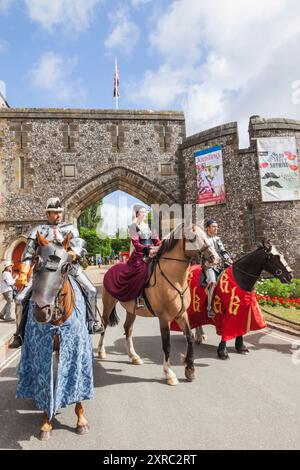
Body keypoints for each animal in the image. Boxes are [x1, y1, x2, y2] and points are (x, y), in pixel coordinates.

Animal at [16, 233, 92, 442]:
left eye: (66, 267)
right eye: (35, 261)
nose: (42, 311)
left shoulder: (76, 351)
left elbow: (77, 385)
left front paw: (81, 422)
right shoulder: (40, 351)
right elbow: (45, 385)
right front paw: (45, 423)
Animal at [97, 224, 219, 386]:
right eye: (193, 238)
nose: (214, 257)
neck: (175, 279)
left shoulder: (182, 315)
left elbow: (190, 338)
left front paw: (190, 369)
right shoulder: (164, 318)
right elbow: (166, 345)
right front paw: (169, 374)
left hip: (131, 310)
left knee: (128, 329)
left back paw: (133, 356)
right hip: (108, 303)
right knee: (104, 325)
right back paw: (101, 352)